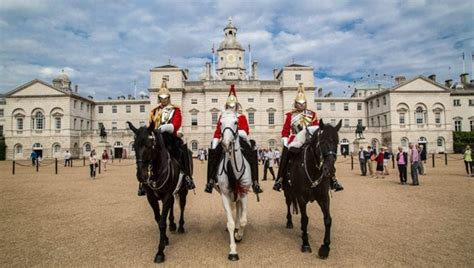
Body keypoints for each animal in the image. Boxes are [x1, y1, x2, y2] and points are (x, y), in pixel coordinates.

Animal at [130, 122, 191, 264]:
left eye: (150, 145)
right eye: (134, 146)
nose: (141, 176)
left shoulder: (167, 195)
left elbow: (162, 223)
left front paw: (160, 252)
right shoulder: (151, 198)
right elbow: (159, 220)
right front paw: (166, 239)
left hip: (183, 191)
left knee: (182, 206)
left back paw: (180, 226)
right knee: (173, 206)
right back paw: (173, 224)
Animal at [282, 118, 340, 258]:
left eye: (337, 142)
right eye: (322, 142)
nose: (329, 170)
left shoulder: (323, 197)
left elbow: (328, 219)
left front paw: (325, 247)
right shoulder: (301, 197)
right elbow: (304, 219)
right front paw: (306, 244)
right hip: (288, 192)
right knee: (288, 204)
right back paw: (289, 222)